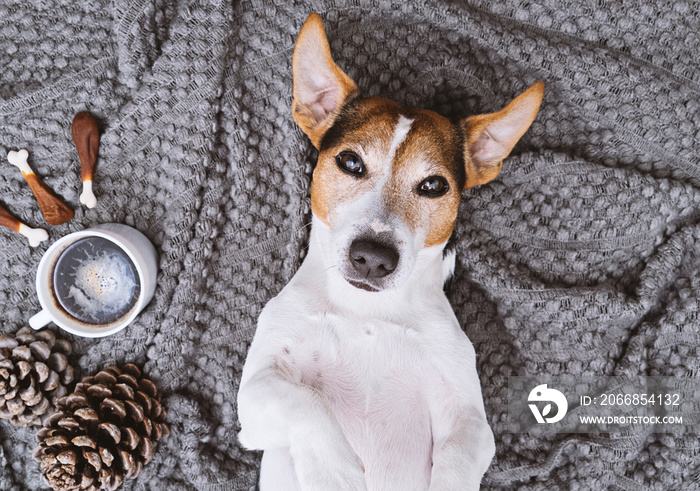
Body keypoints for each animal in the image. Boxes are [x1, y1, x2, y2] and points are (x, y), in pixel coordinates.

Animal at [238, 12, 544, 491]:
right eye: (350, 162)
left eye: (434, 185)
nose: (373, 257)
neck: (366, 311)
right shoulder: (256, 395)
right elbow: (308, 404)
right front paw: (336, 472)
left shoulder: (469, 422)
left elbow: (457, 458)